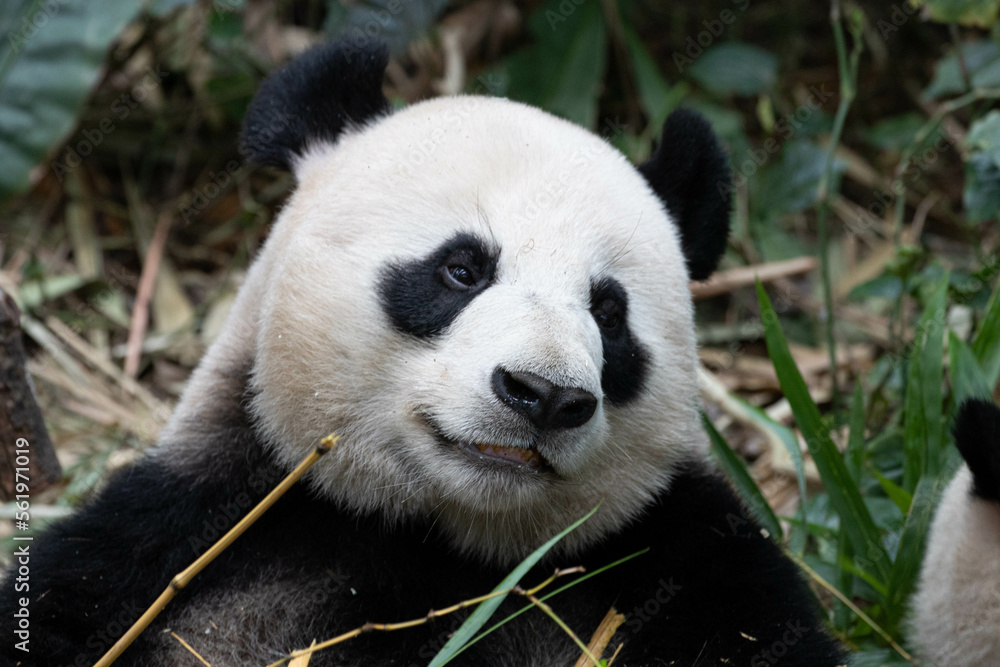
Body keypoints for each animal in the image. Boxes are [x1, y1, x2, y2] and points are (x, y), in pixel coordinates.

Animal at [0, 40, 845, 666]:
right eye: (462, 268)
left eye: (609, 313)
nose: (543, 393)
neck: (444, 541)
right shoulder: (185, 535)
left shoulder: (684, 555)